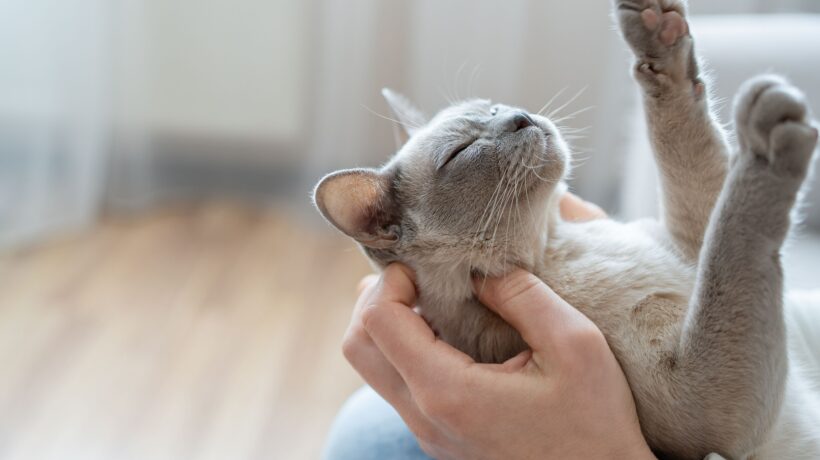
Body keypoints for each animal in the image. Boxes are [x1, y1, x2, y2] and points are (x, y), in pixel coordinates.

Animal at [312, 1, 820, 458]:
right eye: (462, 152)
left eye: (493, 107)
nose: (519, 116)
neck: (554, 245)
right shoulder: (704, 412)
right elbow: (734, 237)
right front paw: (767, 141)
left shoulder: (692, 242)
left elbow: (689, 155)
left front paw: (656, 32)